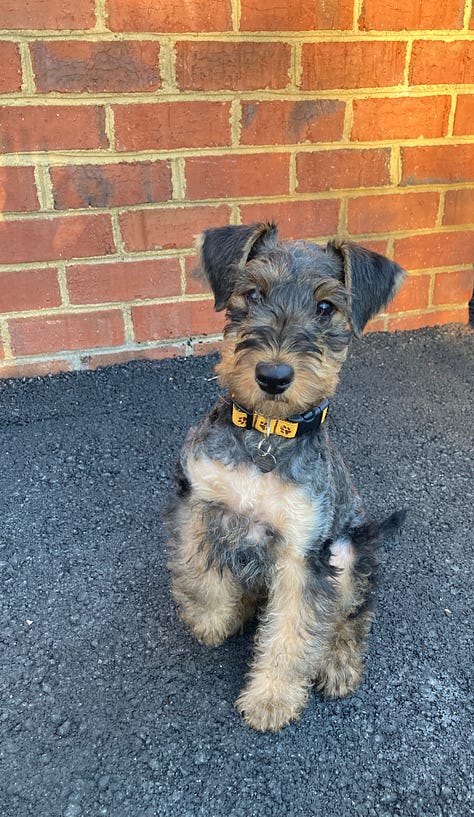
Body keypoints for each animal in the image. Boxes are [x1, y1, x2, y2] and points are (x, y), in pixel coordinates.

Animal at [165, 220, 406, 728]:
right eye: (253, 293)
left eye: (326, 307)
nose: (273, 376)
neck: (267, 436)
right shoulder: (197, 501)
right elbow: (198, 571)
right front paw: (211, 618)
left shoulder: (303, 554)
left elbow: (294, 632)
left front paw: (271, 699)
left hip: (349, 553)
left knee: (350, 616)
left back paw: (338, 663)